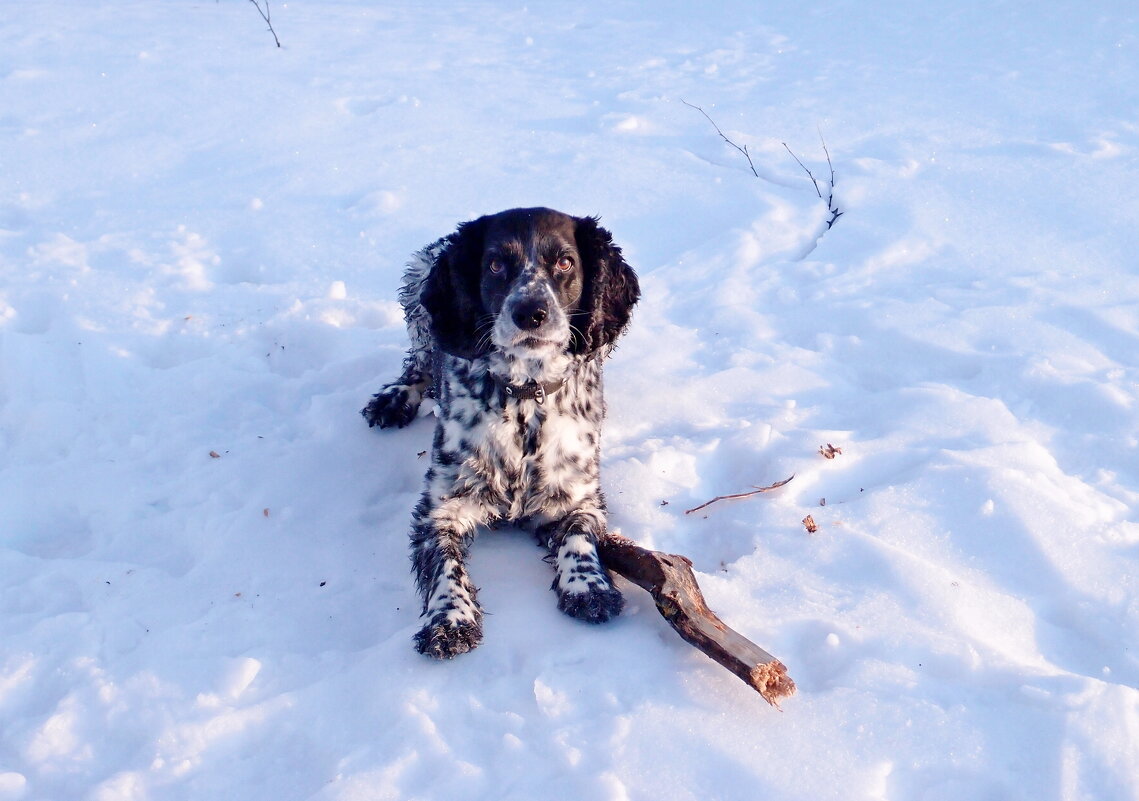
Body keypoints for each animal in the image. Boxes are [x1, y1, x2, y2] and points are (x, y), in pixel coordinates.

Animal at [359, 207, 637, 656]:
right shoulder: (441, 505)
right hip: (418, 289)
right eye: (494, 265)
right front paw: (449, 618)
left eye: (565, 262)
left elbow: (580, 536)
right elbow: (444, 563)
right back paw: (394, 399)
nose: (531, 313)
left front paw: (588, 587)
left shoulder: (580, 494)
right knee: (419, 366)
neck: (525, 397)